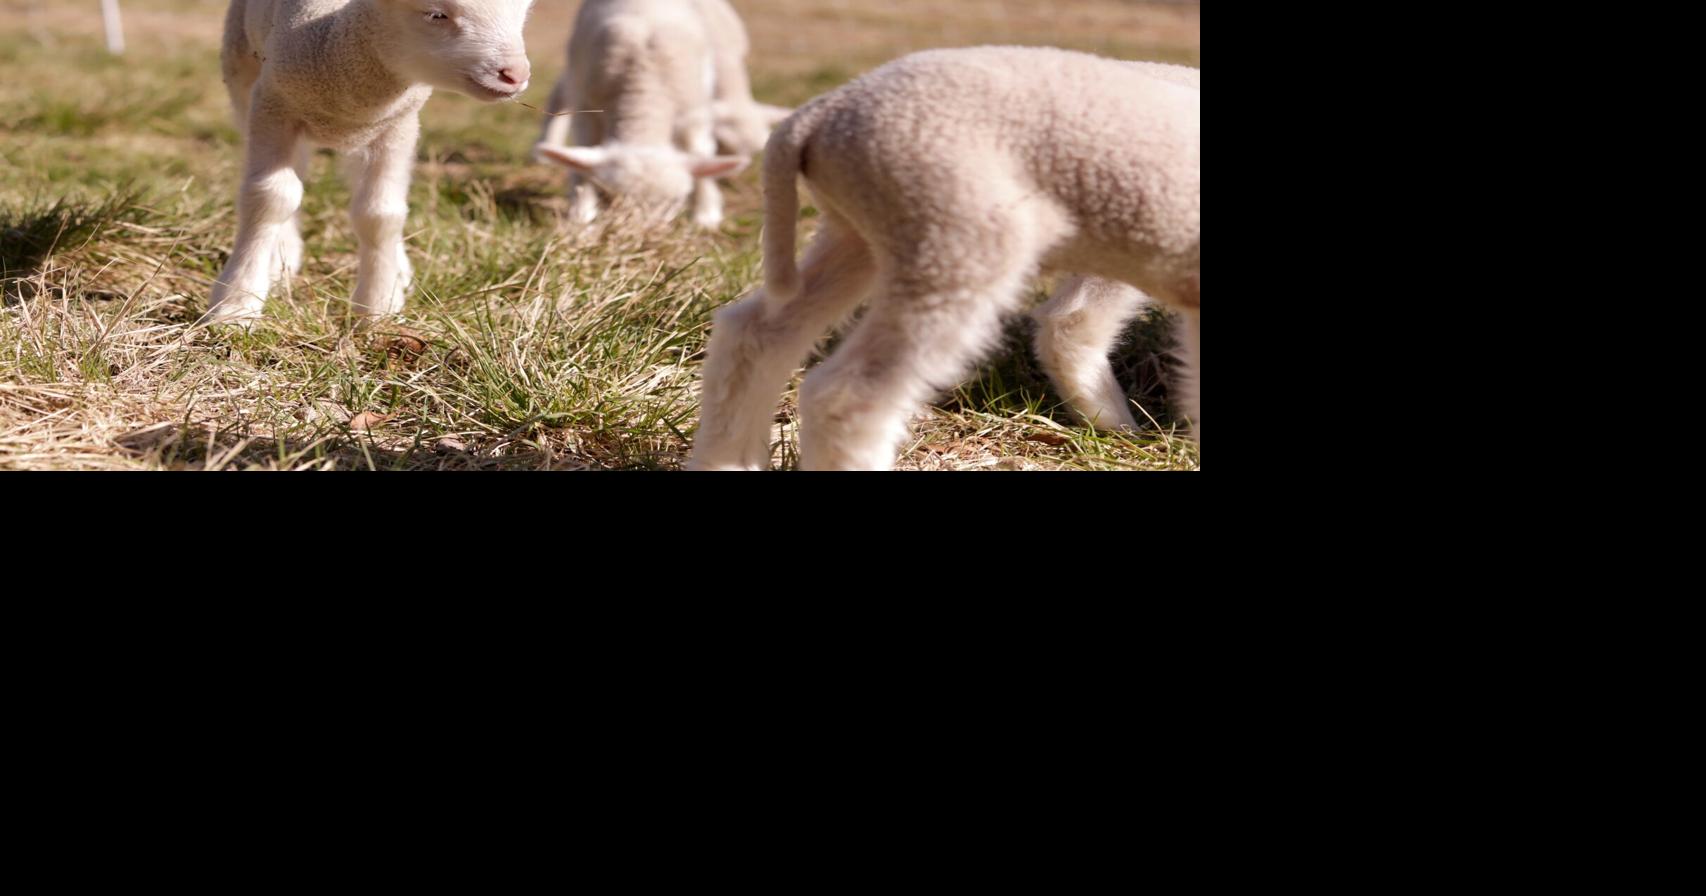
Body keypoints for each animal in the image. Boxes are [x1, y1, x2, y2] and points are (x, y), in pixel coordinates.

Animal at [206, 0, 535, 323]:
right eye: (437, 15)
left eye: (523, 12)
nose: (516, 74)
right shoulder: (274, 107)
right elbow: (269, 198)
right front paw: (236, 303)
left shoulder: (396, 127)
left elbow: (381, 213)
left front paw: (378, 305)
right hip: (241, 70)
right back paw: (280, 257)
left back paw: (397, 268)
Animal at [532, 0, 786, 228]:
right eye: (608, 197)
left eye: (675, 202)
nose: (641, 235)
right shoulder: (586, 106)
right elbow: (582, 161)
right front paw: (581, 212)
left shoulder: (694, 112)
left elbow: (699, 153)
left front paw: (706, 214)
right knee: (560, 93)